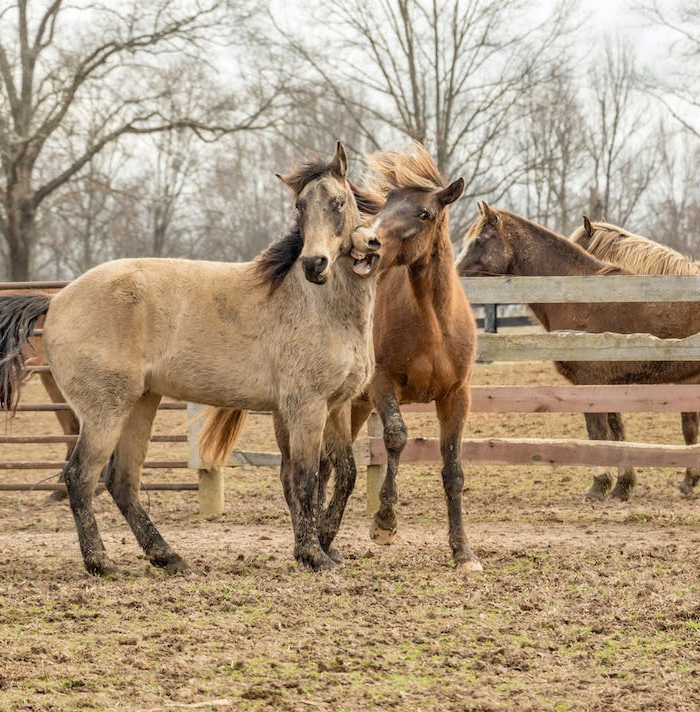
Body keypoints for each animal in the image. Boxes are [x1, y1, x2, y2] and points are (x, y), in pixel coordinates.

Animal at [0, 142, 381, 576]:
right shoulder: (306, 407)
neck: (319, 306)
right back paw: (102, 563)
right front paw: (313, 555)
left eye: (338, 202)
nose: (314, 264)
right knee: (81, 476)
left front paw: (324, 547)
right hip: (105, 411)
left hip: (140, 404)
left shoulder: (335, 407)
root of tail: (57, 300)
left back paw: (167, 556)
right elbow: (305, 479)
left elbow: (343, 474)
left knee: (121, 481)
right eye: (300, 206)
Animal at [349, 143, 482, 571]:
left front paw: (463, 552)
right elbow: (396, 436)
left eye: (424, 213)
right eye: (387, 204)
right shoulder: (382, 385)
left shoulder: (457, 396)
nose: (365, 240)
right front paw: (384, 524)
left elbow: (453, 470)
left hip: (355, 407)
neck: (434, 325)